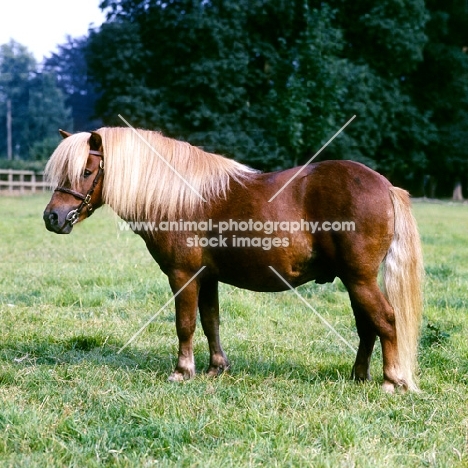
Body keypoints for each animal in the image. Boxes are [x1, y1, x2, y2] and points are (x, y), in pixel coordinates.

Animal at [44, 127, 424, 392]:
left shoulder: (183, 275)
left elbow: (185, 323)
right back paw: (359, 375)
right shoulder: (207, 277)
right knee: (367, 326)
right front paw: (216, 367)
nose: (52, 217)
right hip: (355, 280)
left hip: (359, 279)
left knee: (385, 320)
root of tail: (386, 186)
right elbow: (210, 321)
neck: (180, 198)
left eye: (86, 172)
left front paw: (182, 371)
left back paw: (391, 380)